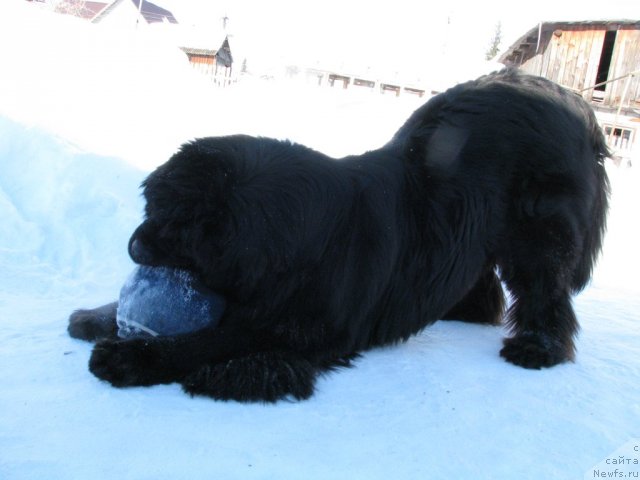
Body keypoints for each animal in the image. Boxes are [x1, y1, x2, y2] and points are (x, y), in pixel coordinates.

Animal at [69, 69, 608, 402]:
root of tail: (576, 102)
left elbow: (214, 341)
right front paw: (96, 316)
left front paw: (132, 357)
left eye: (178, 225)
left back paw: (537, 348)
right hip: (469, 230)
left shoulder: (302, 324)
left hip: (539, 233)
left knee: (546, 292)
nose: (133, 246)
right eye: (153, 208)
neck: (302, 244)